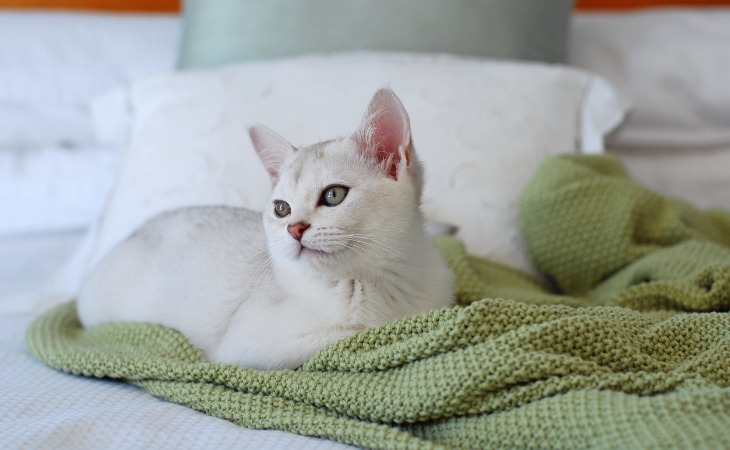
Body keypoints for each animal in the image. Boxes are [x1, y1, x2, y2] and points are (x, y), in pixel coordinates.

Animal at [81, 88, 456, 370]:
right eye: (281, 209)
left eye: (333, 195)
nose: (295, 229)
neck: (378, 281)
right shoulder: (242, 346)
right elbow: (353, 335)